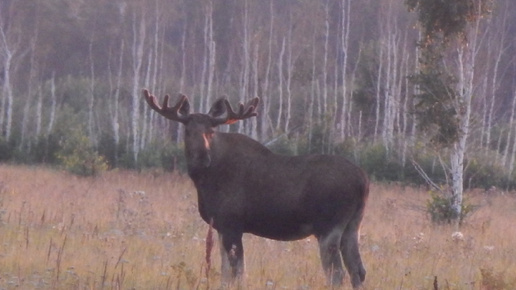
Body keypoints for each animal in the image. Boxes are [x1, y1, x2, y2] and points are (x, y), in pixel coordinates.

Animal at [142, 89, 366, 288]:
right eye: (187, 131)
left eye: (211, 131)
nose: (203, 159)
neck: (203, 180)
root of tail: (363, 181)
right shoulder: (221, 226)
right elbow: (225, 273)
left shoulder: (231, 224)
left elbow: (237, 273)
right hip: (352, 226)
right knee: (358, 271)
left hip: (328, 227)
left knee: (337, 274)